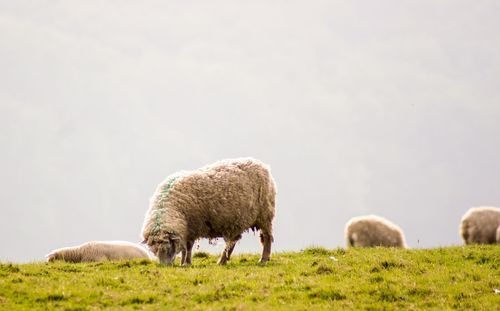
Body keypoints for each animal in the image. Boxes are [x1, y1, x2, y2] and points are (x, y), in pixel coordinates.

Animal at [141, 158, 278, 266]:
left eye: (168, 247)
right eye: (154, 250)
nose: (165, 266)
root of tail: (262, 165)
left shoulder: (192, 227)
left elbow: (188, 247)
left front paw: (186, 263)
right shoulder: (185, 229)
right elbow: (185, 248)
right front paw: (183, 262)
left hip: (264, 214)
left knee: (266, 238)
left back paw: (263, 259)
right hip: (238, 221)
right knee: (233, 241)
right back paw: (223, 260)